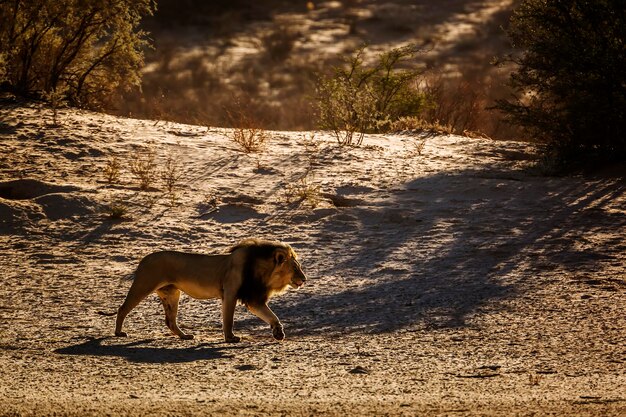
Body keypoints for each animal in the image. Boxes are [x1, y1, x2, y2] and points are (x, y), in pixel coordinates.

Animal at [115, 237, 308, 342]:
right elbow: (228, 319)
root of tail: (143, 259)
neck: (265, 274)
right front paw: (230, 338)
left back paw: (184, 336)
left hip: (172, 293)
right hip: (144, 285)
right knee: (122, 308)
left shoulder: (254, 299)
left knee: (170, 321)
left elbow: (272, 316)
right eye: (296, 268)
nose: (305, 279)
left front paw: (279, 333)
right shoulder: (230, 293)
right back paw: (118, 332)